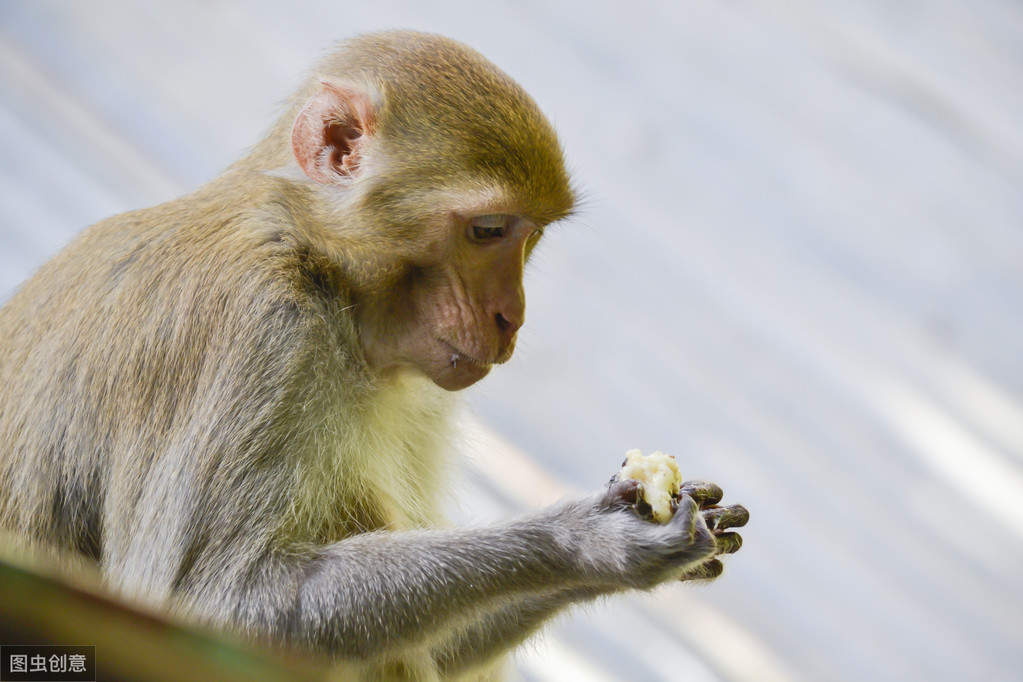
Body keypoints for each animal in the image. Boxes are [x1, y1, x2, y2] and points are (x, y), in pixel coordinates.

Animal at [0, 29, 744, 678]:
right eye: (487, 230)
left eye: (528, 236)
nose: (511, 317)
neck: (326, 275)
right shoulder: (261, 331)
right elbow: (209, 604)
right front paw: (588, 541)